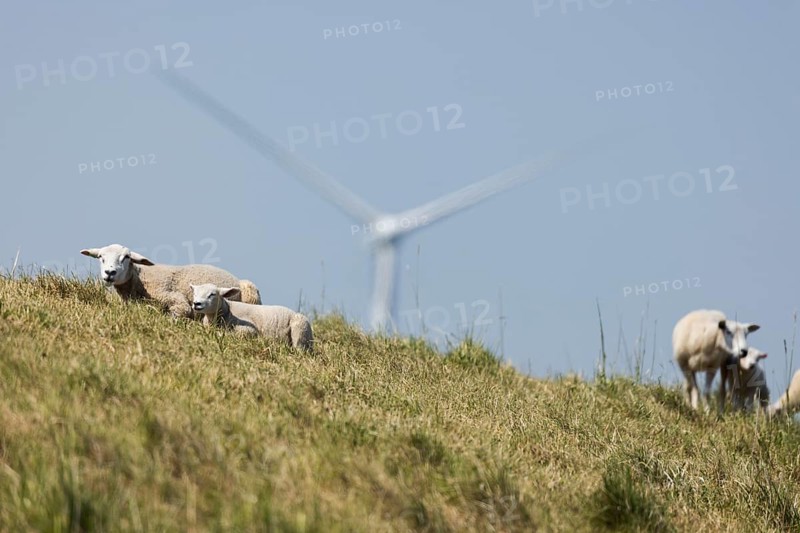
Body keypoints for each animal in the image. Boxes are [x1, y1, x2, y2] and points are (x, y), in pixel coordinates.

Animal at [80, 244, 261, 318]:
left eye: (126, 258)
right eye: (101, 257)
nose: (109, 273)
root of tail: (236, 279)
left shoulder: (173, 298)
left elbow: (181, 311)